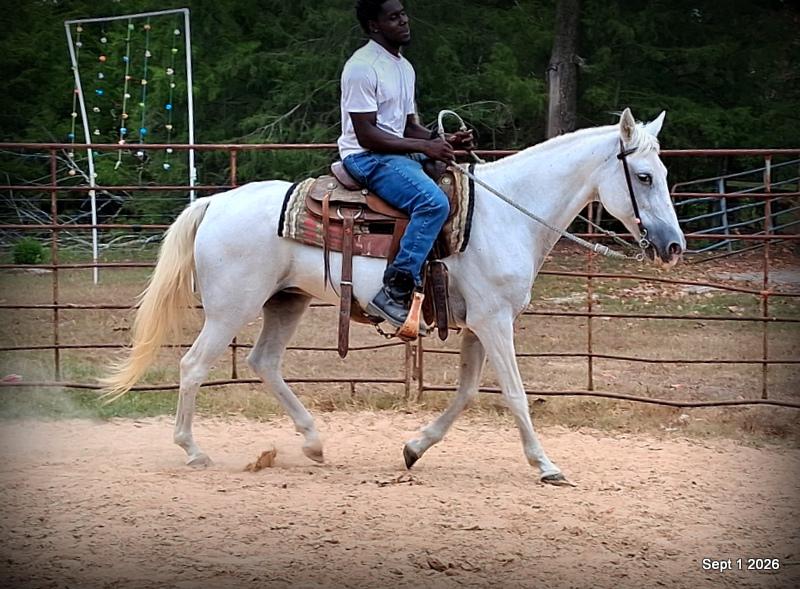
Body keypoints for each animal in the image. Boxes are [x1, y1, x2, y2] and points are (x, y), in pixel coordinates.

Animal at [103, 108, 685, 485]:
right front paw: (546, 465)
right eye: (643, 175)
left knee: (263, 361)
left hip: (286, 301)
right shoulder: (496, 322)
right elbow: (516, 394)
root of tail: (215, 203)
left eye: (664, 173)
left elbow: (467, 393)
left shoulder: (479, 324)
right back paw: (193, 451)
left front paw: (413, 449)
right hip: (231, 309)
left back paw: (313, 442)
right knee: (194, 365)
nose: (673, 245)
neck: (507, 214)